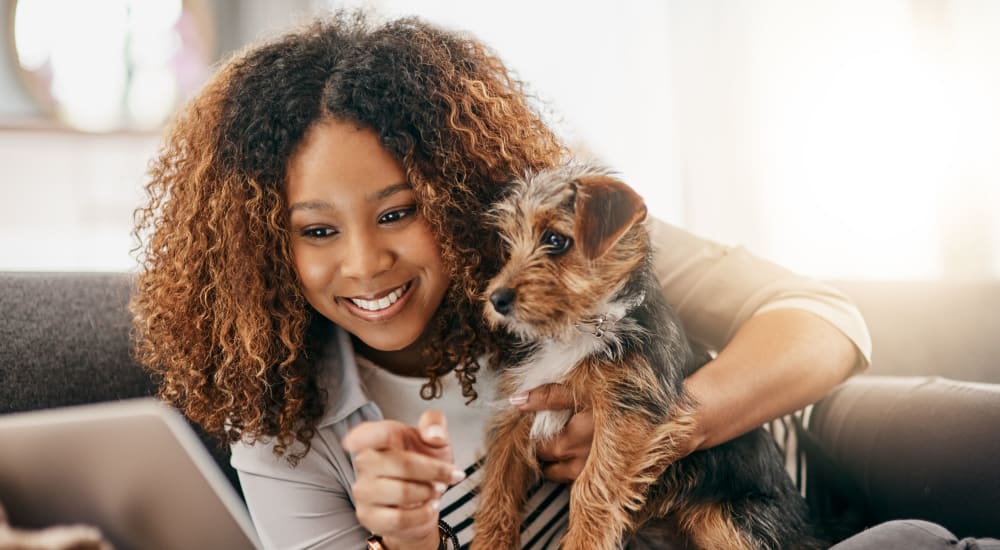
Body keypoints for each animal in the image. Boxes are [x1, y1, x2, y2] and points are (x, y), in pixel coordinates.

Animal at [472, 163, 824, 550]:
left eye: (555, 240)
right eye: (509, 247)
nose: (496, 300)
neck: (580, 328)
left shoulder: (629, 410)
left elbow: (592, 486)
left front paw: (582, 542)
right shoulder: (516, 409)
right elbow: (497, 489)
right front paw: (488, 542)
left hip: (727, 520)